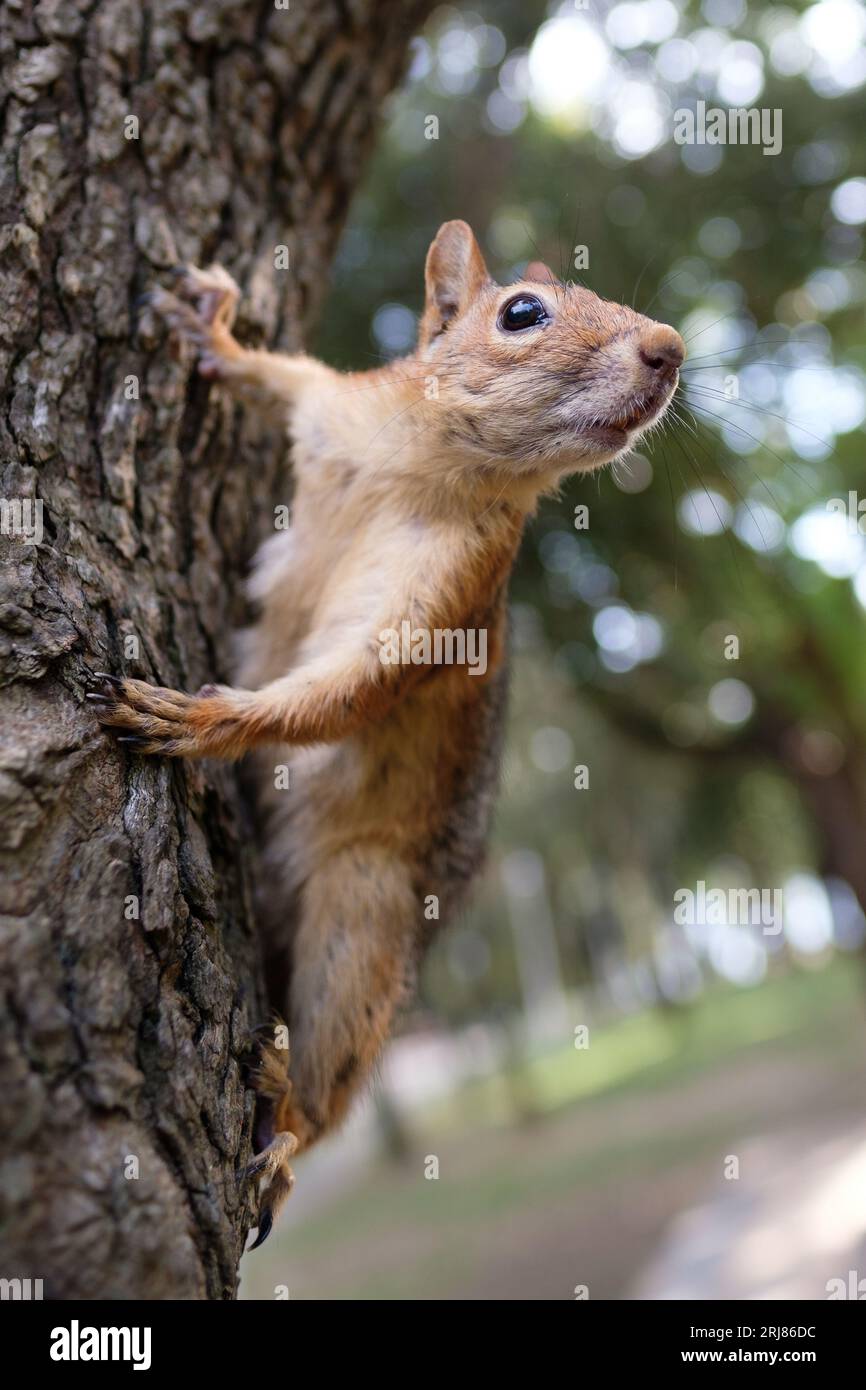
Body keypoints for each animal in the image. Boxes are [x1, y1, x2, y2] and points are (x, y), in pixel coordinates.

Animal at [87, 220, 684, 1247]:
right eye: (522, 312)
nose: (672, 349)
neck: (425, 461)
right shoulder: (334, 410)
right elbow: (279, 378)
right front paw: (215, 331)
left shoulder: (447, 598)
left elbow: (346, 694)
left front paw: (205, 718)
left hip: (363, 908)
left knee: (334, 1084)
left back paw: (287, 1124)